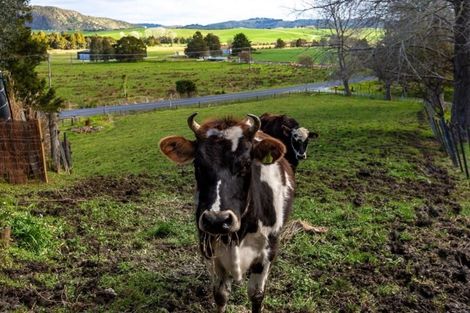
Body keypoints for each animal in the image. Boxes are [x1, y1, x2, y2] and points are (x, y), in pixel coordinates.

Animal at [160, 113, 296, 310]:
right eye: (198, 164)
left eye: (246, 164)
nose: (217, 220)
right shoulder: (210, 249)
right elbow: (220, 295)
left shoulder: (268, 251)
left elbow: (256, 295)